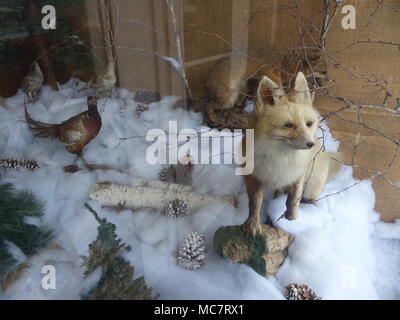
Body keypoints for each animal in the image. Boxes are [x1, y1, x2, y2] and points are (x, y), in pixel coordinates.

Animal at [242, 71, 340, 234]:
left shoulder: (298, 174)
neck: (280, 159)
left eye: (309, 124)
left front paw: (291, 216)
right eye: (288, 125)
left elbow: (293, 199)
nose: (311, 144)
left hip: (311, 187)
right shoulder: (253, 177)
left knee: (307, 198)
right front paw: (253, 223)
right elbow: (255, 203)